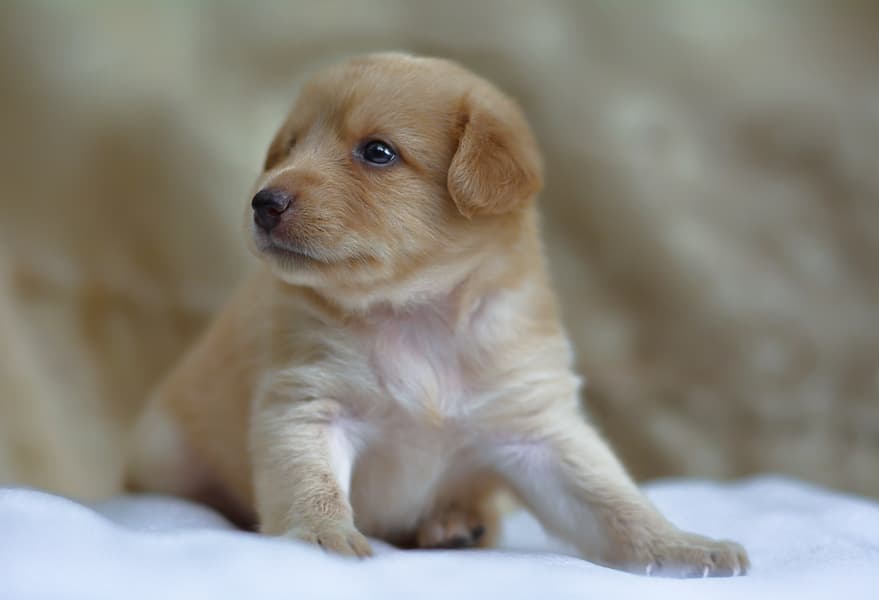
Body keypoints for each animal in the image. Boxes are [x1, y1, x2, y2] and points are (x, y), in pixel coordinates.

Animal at [129, 52, 748, 576]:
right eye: (289, 148)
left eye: (377, 151)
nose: (263, 202)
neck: (416, 315)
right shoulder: (306, 404)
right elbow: (311, 483)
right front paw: (321, 537)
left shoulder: (537, 430)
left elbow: (612, 500)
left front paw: (680, 546)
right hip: (166, 452)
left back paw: (456, 524)